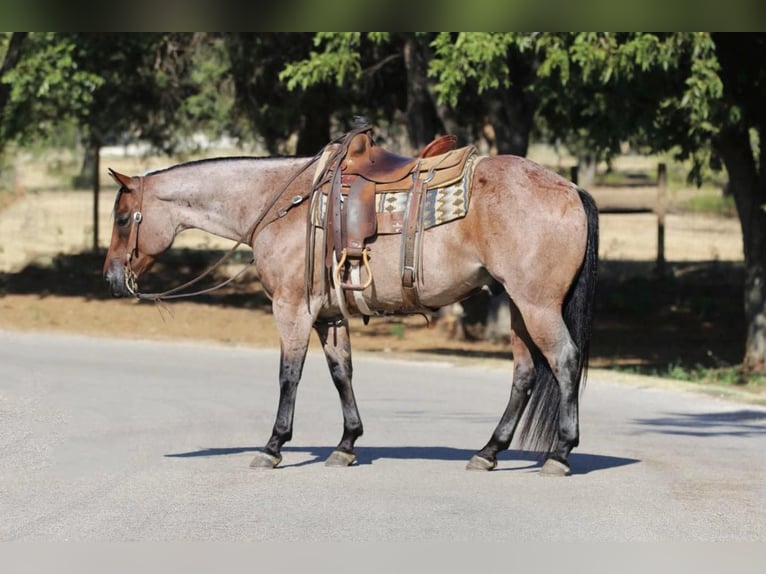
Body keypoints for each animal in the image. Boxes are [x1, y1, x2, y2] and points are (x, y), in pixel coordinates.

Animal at [103, 130, 600, 476]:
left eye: (124, 218)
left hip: (537, 305)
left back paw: (559, 454)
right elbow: (341, 372)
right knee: (525, 374)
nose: (111, 277)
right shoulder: (329, 315)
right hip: (517, 306)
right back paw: (488, 451)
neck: (283, 204)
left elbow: (289, 375)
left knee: (564, 360)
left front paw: (273, 446)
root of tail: (571, 189)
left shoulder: (292, 309)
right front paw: (346, 445)